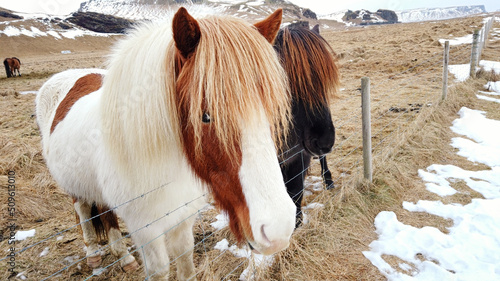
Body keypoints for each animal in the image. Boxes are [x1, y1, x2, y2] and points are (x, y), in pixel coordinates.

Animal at [38, 7, 296, 278]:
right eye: (205, 116)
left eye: (270, 109)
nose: (278, 228)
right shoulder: (145, 230)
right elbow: (160, 269)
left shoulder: (183, 217)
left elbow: (185, 259)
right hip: (74, 187)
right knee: (83, 211)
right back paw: (93, 253)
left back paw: (124, 256)